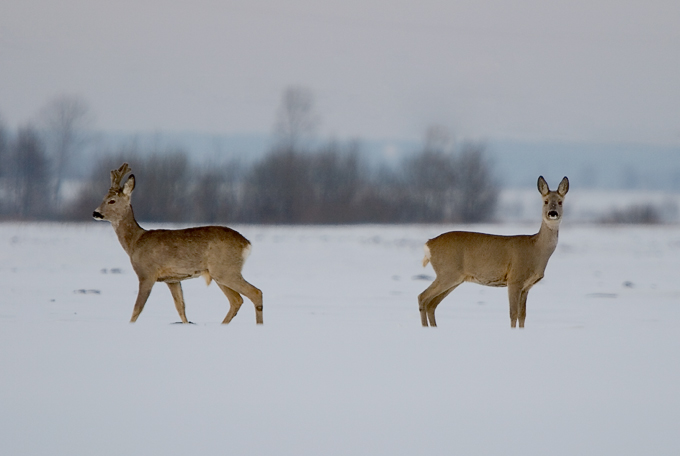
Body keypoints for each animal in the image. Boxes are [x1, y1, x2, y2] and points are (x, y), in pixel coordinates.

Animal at [94, 163, 264, 324]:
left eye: (112, 201)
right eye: (103, 198)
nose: (95, 213)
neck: (135, 242)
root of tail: (247, 244)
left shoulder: (147, 273)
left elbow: (137, 309)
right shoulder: (173, 280)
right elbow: (181, 308)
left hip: (226, 269)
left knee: (255, 293)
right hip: (219, 273)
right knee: (236, 300)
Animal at [420, 175, 568, 328]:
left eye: (560, 202)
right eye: (545, 201)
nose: (552, 213)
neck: (536, 249)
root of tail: (428, 244)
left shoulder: (527, 286)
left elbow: (523, 315)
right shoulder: (515, 278)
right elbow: (513, 313)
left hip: (454, 278)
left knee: (431, 304)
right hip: (447, 272)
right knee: (423, 297)